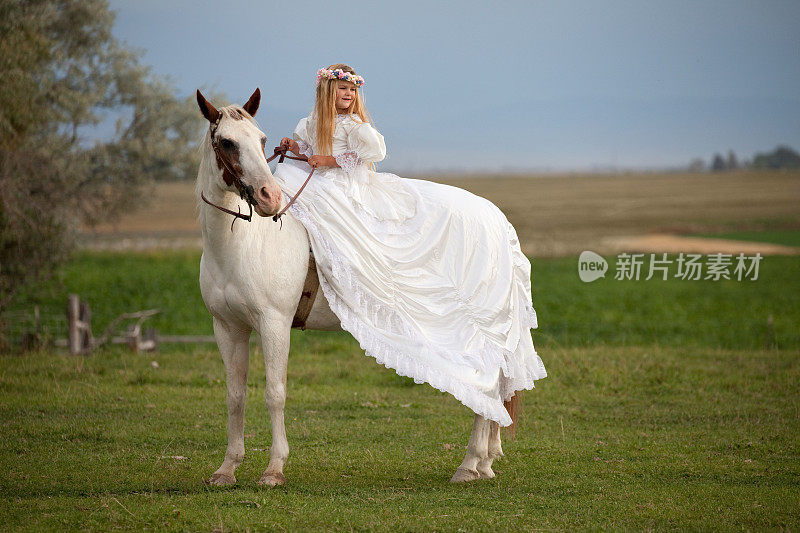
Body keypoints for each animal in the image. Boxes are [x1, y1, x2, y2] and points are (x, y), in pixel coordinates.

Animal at [197, 89, 516, 484]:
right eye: (227, 142)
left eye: (261, 139)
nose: (269, 197)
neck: (242, 244)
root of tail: (495, 216)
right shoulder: (228, 327)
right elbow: (235, 396)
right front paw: (227, 468)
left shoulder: (274, 324)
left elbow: (275, 393)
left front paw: (274, 469)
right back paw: (483, 462)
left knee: (487, 386)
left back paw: (470, 463)